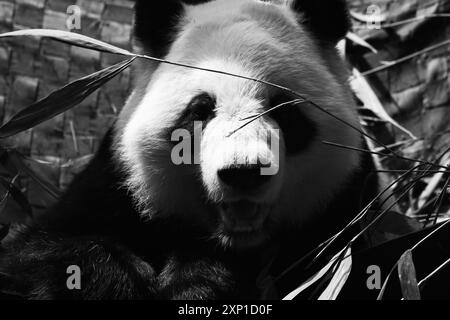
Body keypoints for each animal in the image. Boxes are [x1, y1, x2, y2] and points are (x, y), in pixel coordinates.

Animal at [0, 0, 380, 300]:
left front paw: (202, 280)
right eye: (201, 111)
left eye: (284, 111)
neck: (233, 240)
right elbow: (38, 251)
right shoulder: (116, 183)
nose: (244, 173)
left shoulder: (345, 208)